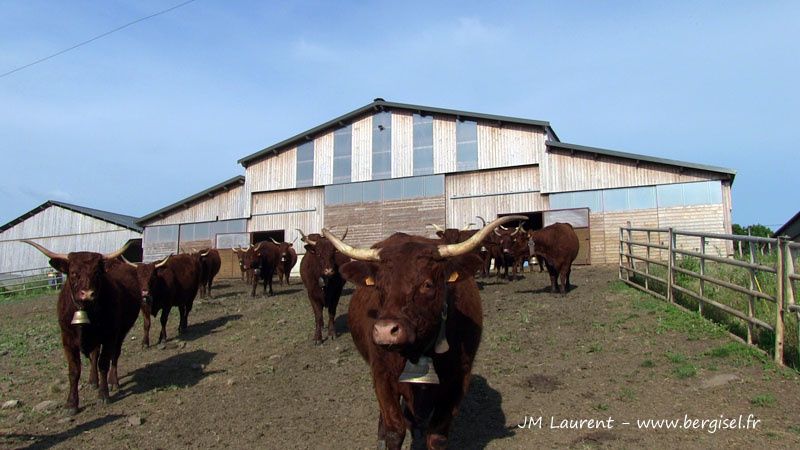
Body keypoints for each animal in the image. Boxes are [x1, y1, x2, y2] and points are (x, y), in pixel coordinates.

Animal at [20, 239, 139, 414]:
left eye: (97, 273)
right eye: (73, 273)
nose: (87, 294)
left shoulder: (110, 335)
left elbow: (104, 363)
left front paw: (104, 394)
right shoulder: (67, 339)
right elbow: (74, 371)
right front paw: (71, 403)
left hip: (121, 332)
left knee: (114, 356)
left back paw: (113, 381)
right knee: (94, 356)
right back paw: (93, 381)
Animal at [322, 215, 528, 450]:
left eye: (427, 284)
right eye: (379, 287)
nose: (385, 331)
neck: (417, 351)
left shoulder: (458, 379)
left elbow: (437, 435)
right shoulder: (381, 374)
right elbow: (395, 429)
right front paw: (386, 435)